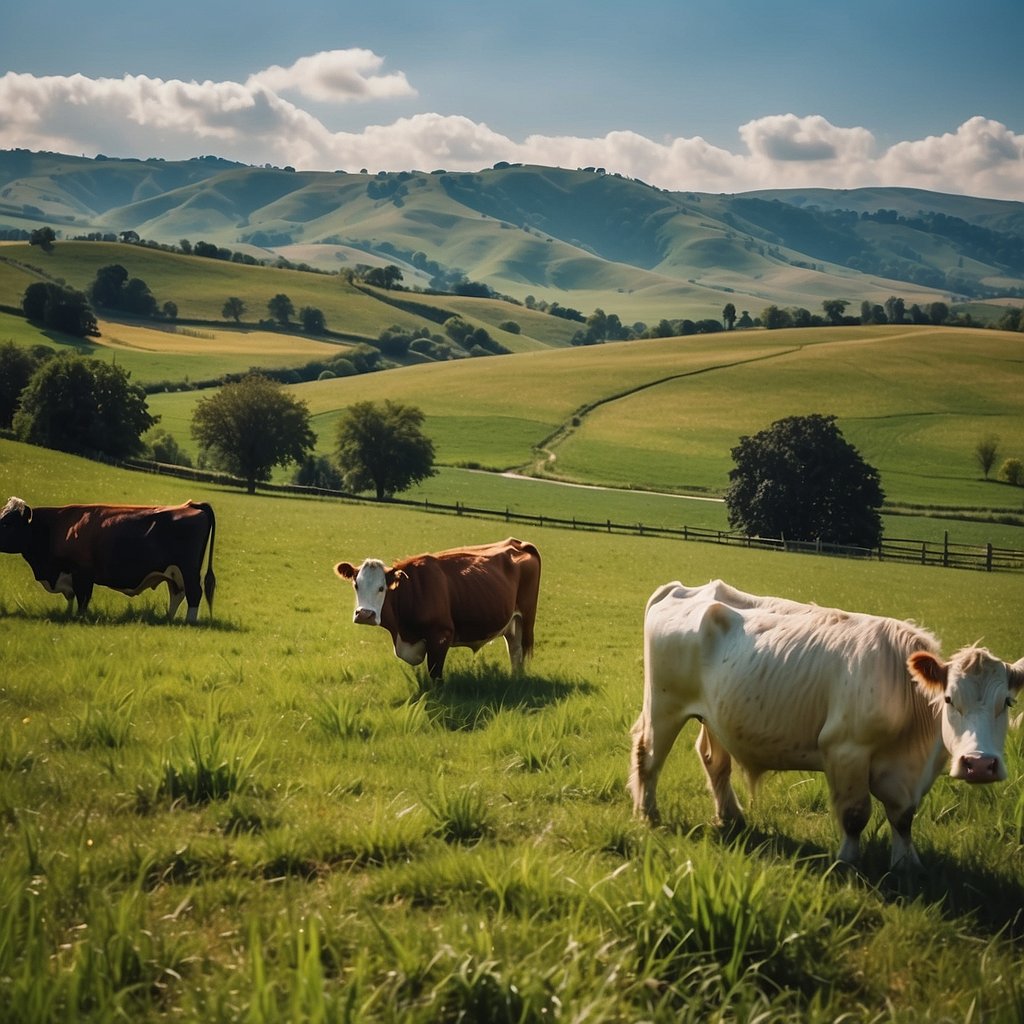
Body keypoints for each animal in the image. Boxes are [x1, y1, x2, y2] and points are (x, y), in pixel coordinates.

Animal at [0, 496, 216, 623]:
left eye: (8, 523)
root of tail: (190, 505)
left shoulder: (82, 573)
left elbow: (82, 599)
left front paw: (79, 619)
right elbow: (71, 598)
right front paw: (68, 614)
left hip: (188, 570)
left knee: (194, 593)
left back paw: (189, 622)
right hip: (174, 573)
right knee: (177, 593)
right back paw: (169, 619)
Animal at [334, 538, 541, 679]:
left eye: (381, 588)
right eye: (356, 585)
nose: (365, 614)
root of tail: (518, 543)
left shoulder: (441, 636)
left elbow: (435, 675)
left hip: (526, 617)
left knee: (521, 650)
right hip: (512, 624)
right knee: (514, 651)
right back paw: (515, 678)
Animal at [629, 580, 1024, 868]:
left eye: (1007, 702)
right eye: (949, 700)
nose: (979, 764)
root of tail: (682, 588)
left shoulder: (911, 774)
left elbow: (903, 816)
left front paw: (906, 863)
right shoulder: (846, 750)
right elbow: (855, 814)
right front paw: (847, 862)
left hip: (714, 715)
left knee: (715, 761)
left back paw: (731, 818)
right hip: (664, 705)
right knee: (649, 756)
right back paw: (648, 815)